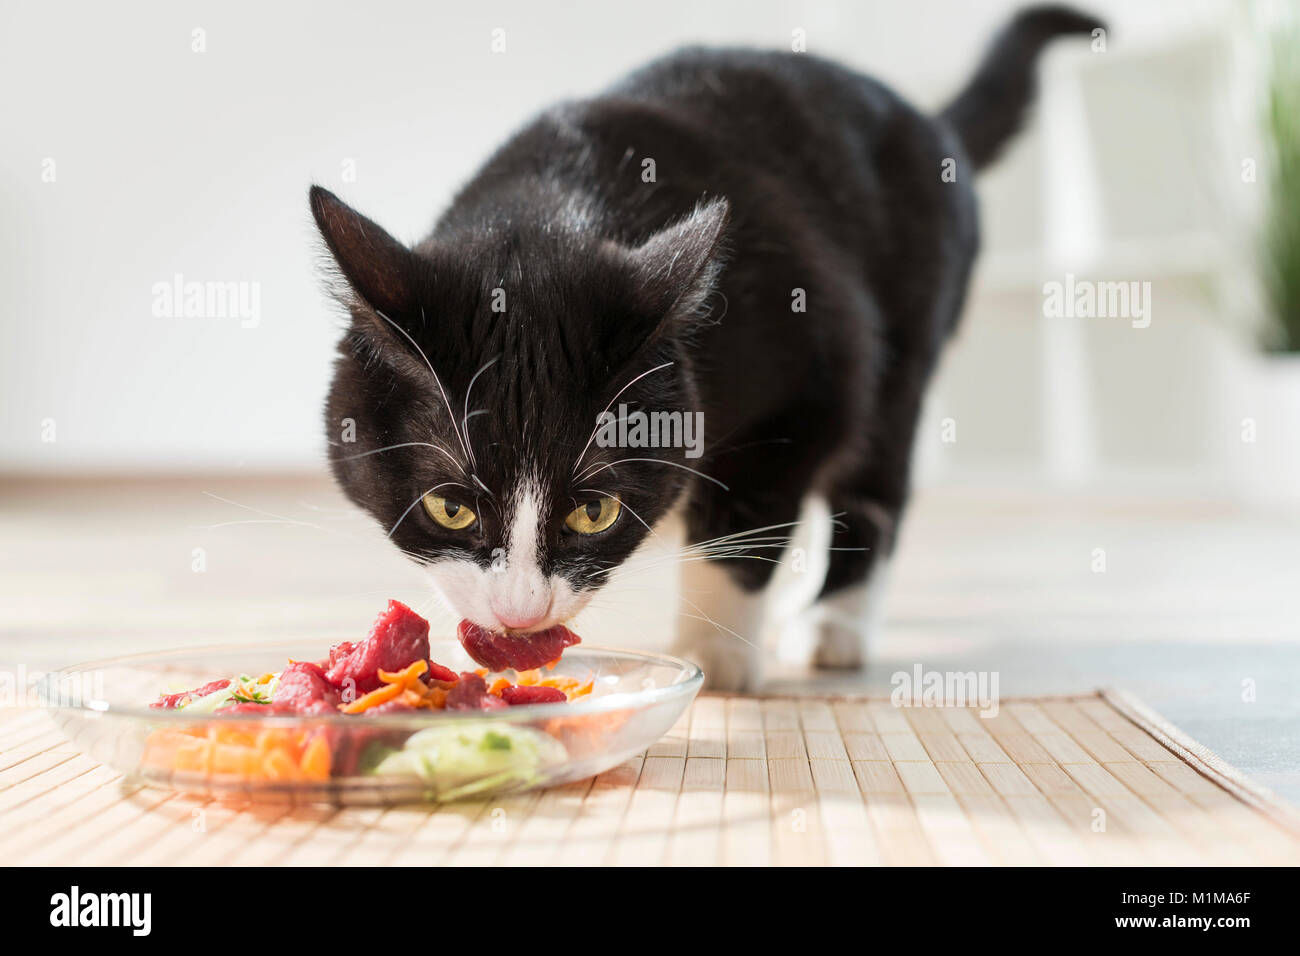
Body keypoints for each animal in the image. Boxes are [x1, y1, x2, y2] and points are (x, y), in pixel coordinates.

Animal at [312, 5, 1097, 686]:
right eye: (451, 507)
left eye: (594, 512)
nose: (519, 612)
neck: (552, 202)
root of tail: (928, 120)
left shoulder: (814, 358)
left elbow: (747, 517)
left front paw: (711, 652)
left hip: (909, 332)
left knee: (875, 477)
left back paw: (831, 624)